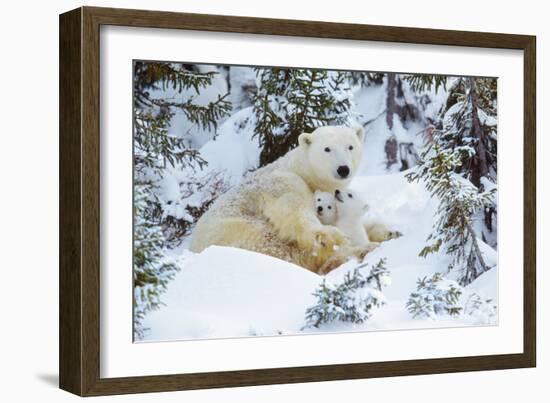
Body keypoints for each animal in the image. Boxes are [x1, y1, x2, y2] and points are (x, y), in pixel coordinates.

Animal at [190, 125, 384, 274]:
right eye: (327, 149)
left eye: (350, 147)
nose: (343, 169)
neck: (302, 171)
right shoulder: (282, 182)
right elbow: (294, 211)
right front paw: (331, 236)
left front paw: (385, 231)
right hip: (240, 230)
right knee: (280, 248)